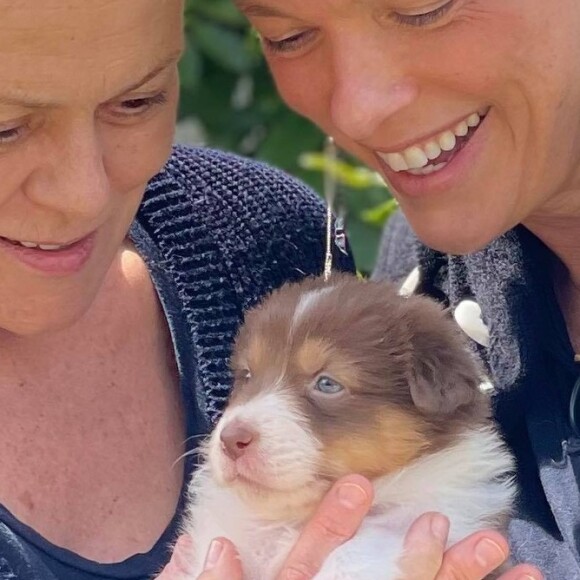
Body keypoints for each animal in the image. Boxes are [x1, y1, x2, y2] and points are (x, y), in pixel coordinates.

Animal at [184, 274, 516, 576]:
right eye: (247, 375)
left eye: (327, 384)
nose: (231, 440)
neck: (295, 519)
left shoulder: (449, 515)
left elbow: (359, 548)